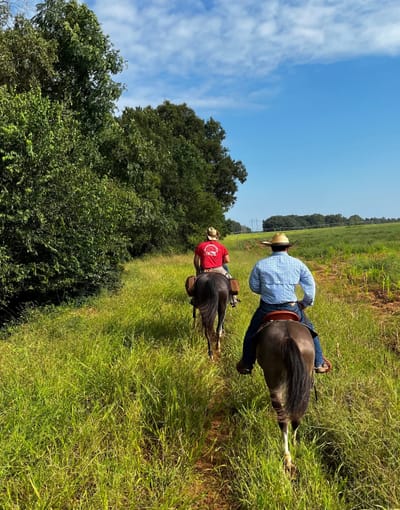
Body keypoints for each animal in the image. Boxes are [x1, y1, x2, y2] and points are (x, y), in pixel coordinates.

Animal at [256, 314, 316, 474]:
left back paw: (287, 456)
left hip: (273, 380)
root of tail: (288, 337)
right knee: (296, 416)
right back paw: (294, 445)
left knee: (283, 419)